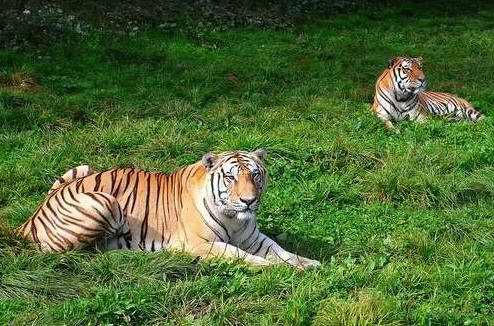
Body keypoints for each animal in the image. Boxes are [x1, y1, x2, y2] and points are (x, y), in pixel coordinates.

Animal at [17, 149, 320, 268]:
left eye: (255, 175)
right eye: (231, 177)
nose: (249, 200)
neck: (235, 219)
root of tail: (29, 219)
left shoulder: (253, 238)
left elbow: (281, 251)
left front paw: (308, 263)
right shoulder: (202, 244)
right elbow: (243, 257)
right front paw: (278, 269)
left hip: (83, 168)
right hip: (105, 201)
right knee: (83, 252)